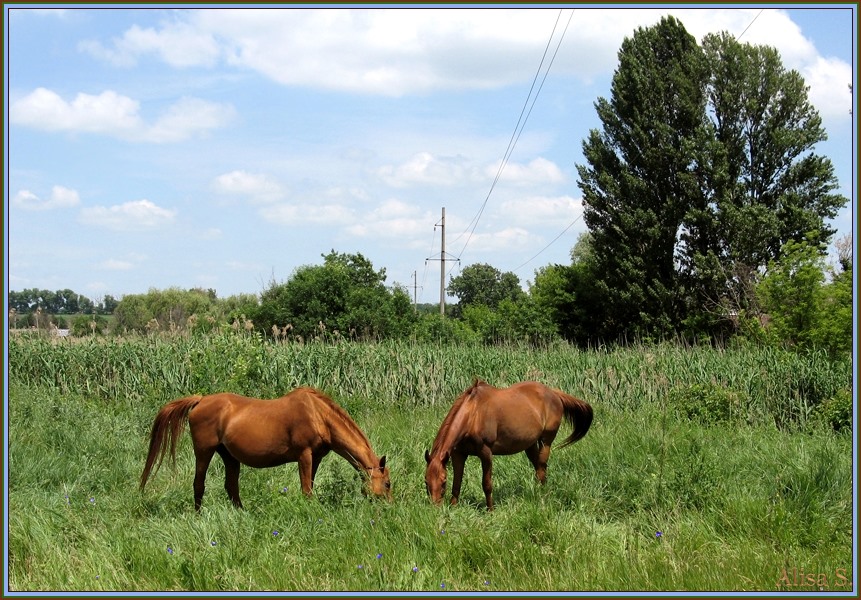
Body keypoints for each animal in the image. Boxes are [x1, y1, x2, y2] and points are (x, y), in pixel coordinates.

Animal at [140, 384, 390, 510]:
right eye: (387, 484)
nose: (389, 508)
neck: (319, 416)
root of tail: (201, 400)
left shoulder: (316, 458)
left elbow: (310, 485)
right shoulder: (304, 456)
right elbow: (306, 490)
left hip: (229, 455)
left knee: (231, 486)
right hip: (204, 452)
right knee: (199, 484)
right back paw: (199, 515)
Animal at [424, 380, 592, 510]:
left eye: (443, 481)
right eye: (426, 481)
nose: (435, 508)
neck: (473, 415)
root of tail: (554, 393)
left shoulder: (486, 453)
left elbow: (487, 484)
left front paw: (490, 510)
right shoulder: (458, 454)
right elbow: (457, 483)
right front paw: (453, 508)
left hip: (546, 441)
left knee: (542, 467)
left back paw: (542, 497)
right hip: (530, 445)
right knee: (539, 468)